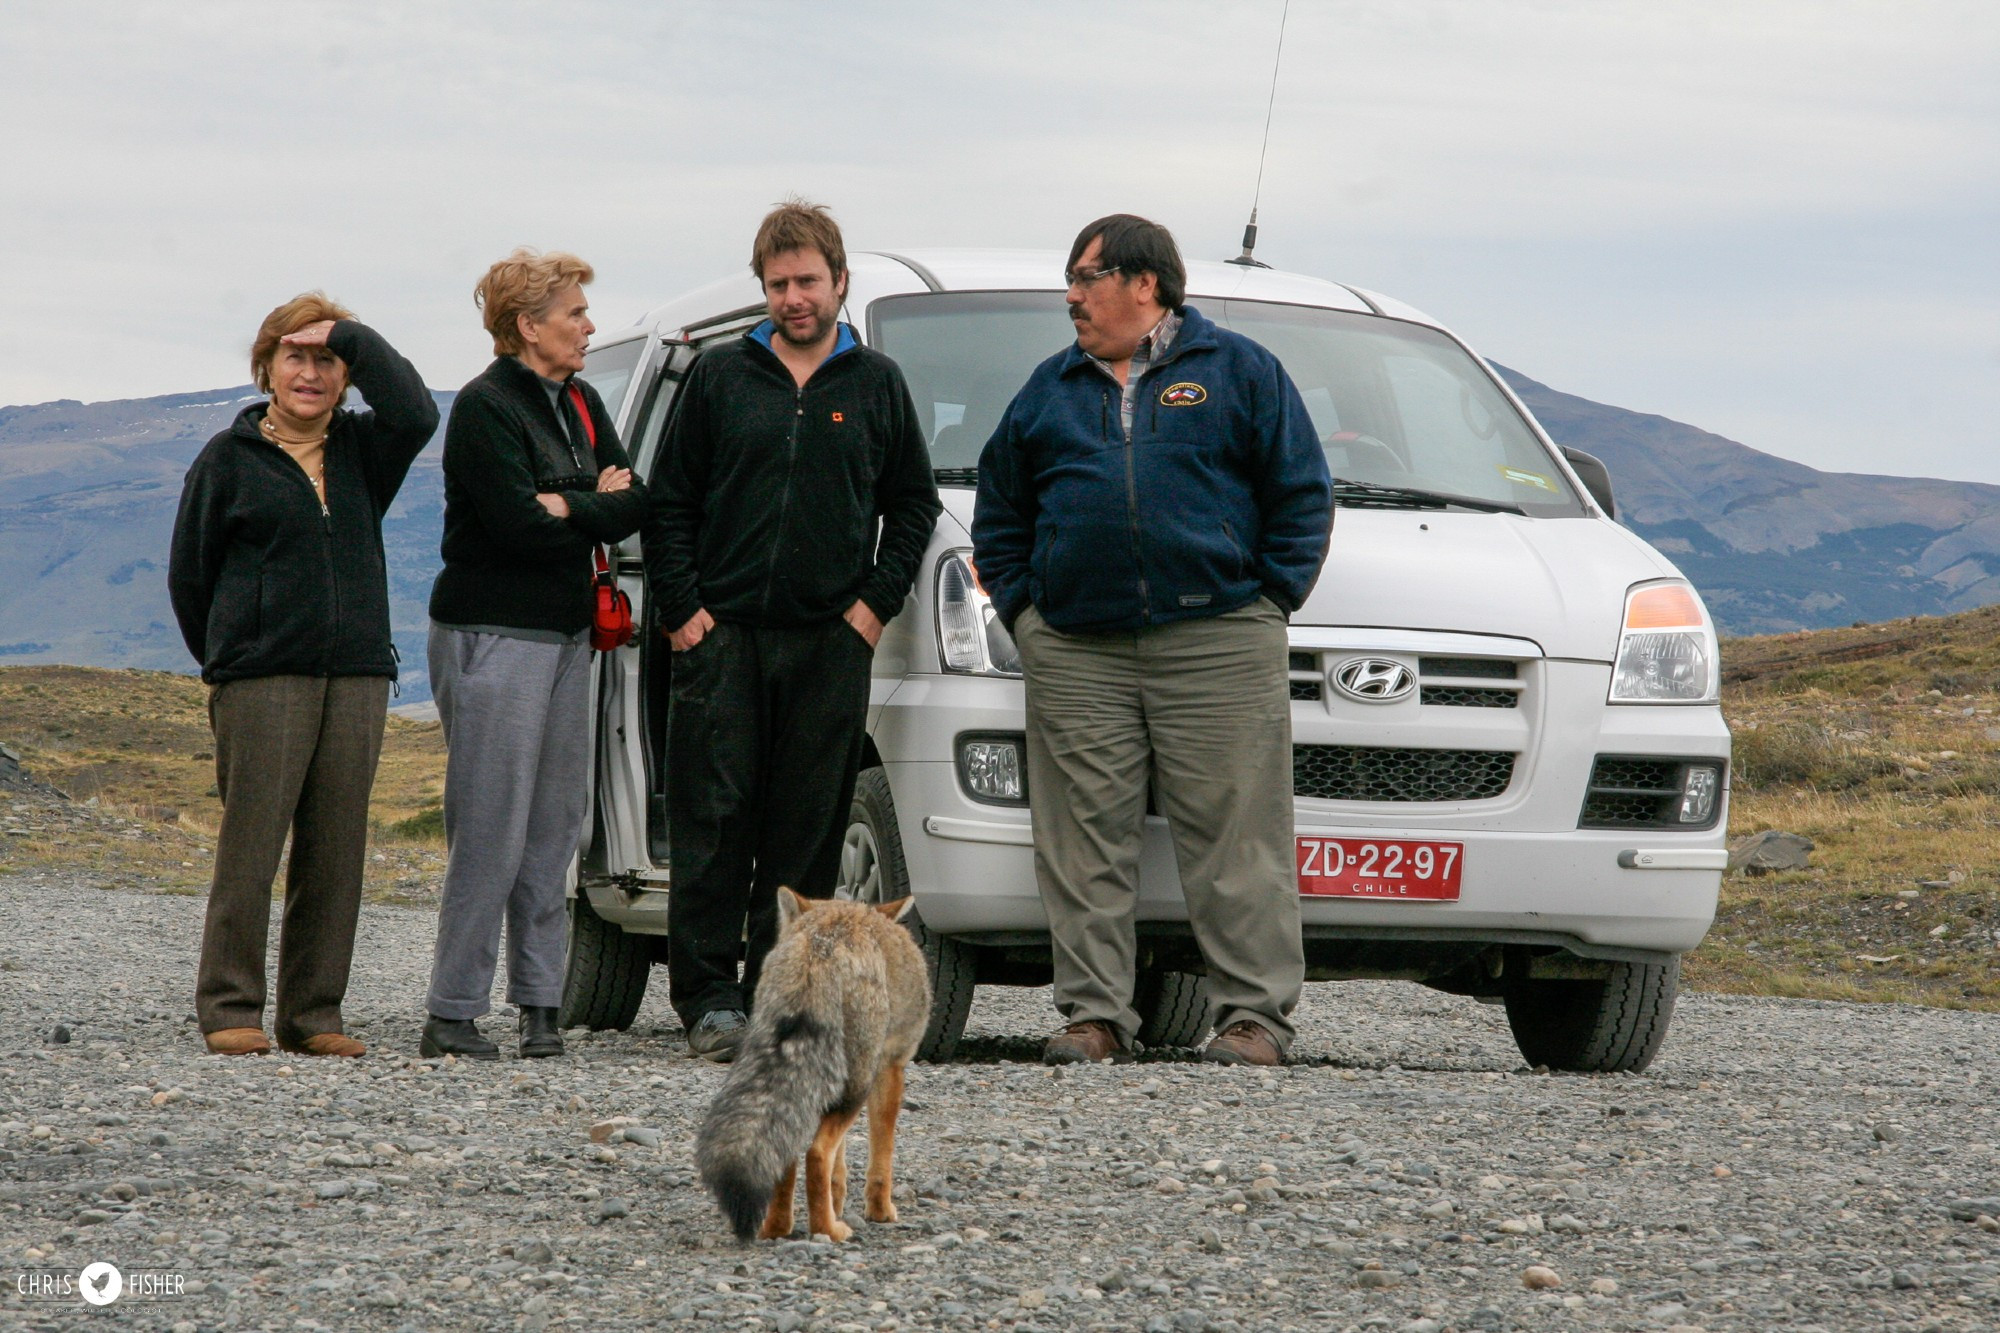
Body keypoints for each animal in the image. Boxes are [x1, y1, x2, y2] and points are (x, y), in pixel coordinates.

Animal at [696, 888, 928, 1240]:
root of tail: (818, 948)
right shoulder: (891, 1067)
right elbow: (881, 1153)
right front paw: (880, 1210)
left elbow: (839, 1164)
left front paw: (837, 1199)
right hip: (857, 1085)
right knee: (816, 1153)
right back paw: (828, 1230)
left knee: (787, 1155)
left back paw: (778, 1227)